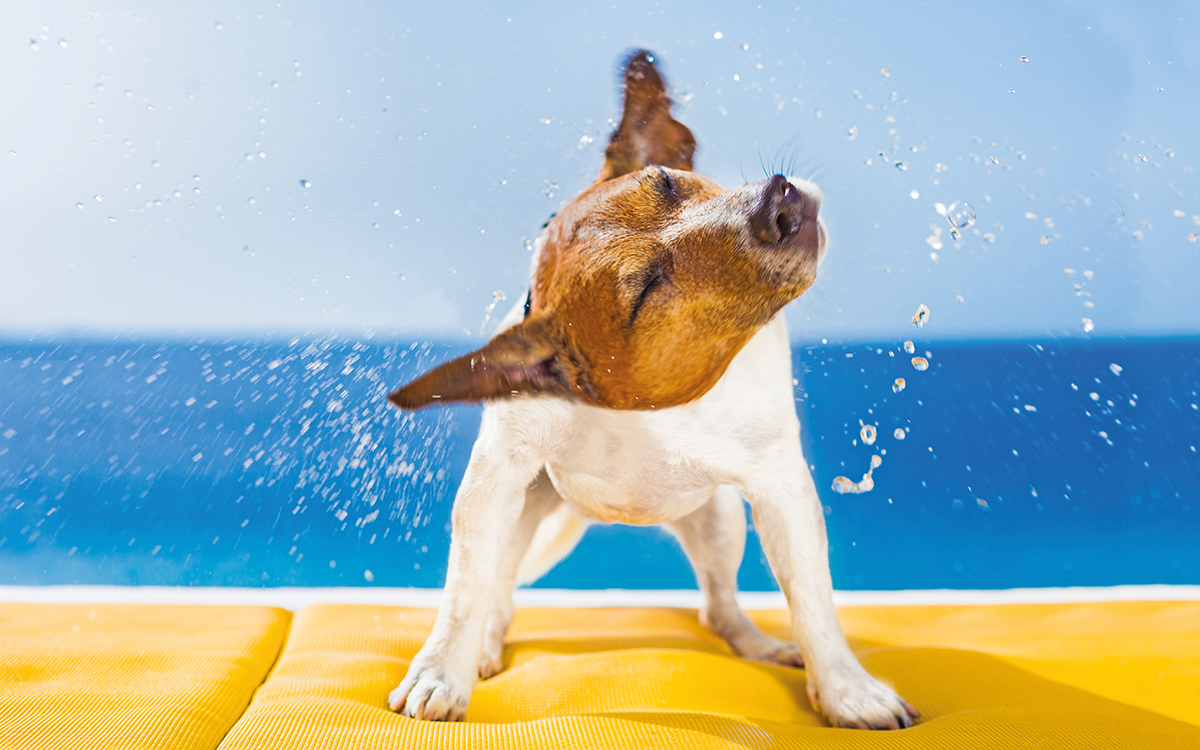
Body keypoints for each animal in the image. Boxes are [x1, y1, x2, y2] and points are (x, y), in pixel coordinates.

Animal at [384, 49, 916, 729]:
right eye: (645, 288)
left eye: (668, 179)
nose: (778, 201)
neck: (650, 405)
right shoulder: (495, 479)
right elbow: (464, 591)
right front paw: (440, 670)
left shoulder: (780, 488)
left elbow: (813, 600)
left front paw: (849, 690)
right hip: (526, 510)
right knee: (499, 594)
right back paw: (483, 646)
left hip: (719, 517)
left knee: (718, 607)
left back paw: (759, 643)